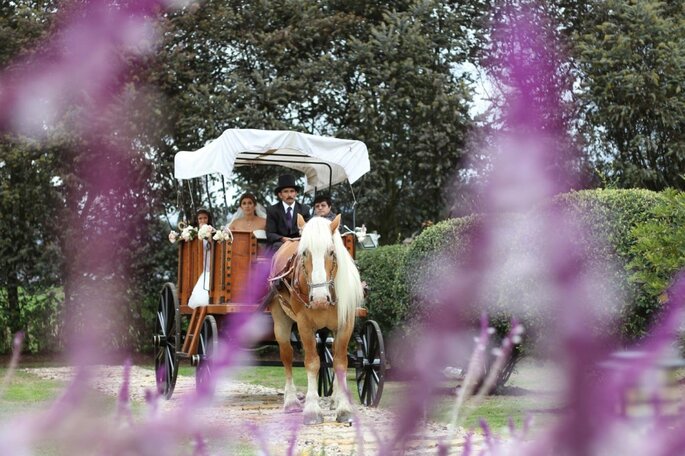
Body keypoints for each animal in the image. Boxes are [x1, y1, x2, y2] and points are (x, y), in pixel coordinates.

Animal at [266, 214, 364, 424]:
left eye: (332, 252)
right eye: (304, 253)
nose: (319, 299)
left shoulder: (345, 324)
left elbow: (340, 362)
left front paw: (343, 407)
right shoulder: (304, 325)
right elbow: (312, 362)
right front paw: (312, 410)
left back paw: (334, 399)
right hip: (281, 320)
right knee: (286, 355)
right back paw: (291, 401)